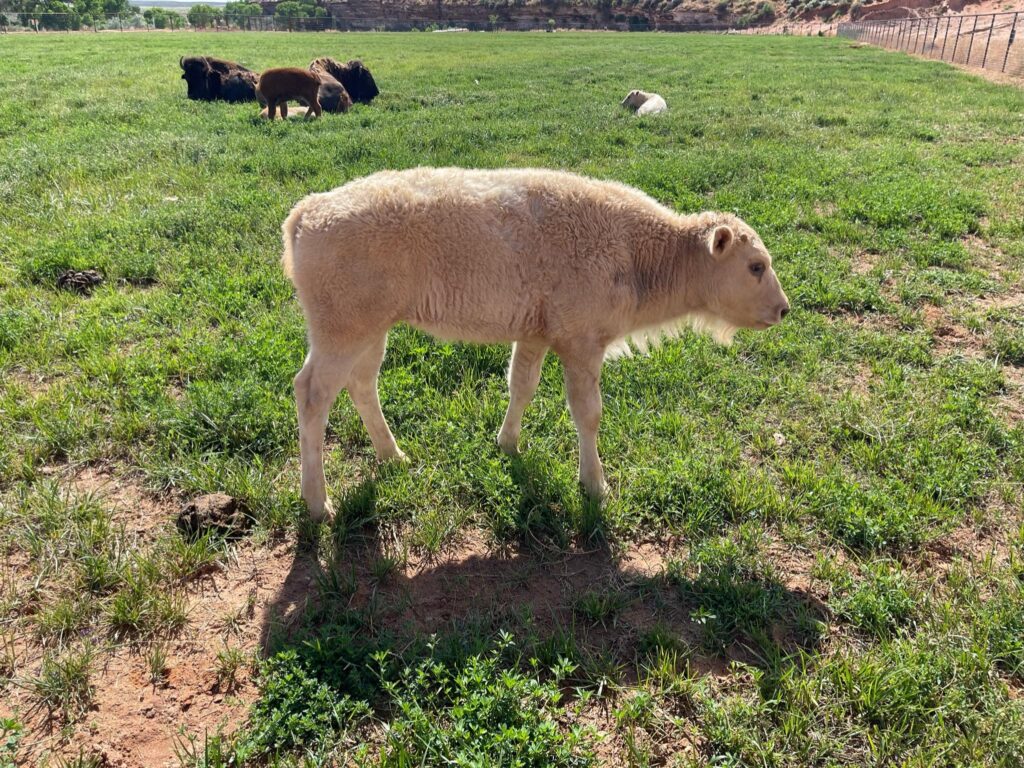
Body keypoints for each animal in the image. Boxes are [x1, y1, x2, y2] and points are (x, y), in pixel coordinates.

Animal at [281, 168, 790, 520]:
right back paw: (318, 503)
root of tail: (307, 211)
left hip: (371, 333)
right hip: (340, 335)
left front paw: (507, 444)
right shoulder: (582, 346)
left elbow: (521, 386)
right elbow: (588, 413)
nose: (784, 309)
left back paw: (393, 456)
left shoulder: (534, 335)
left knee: (362, 385)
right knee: (312, 395)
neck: (636, 251)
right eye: (755, 267)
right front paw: (596, 485)